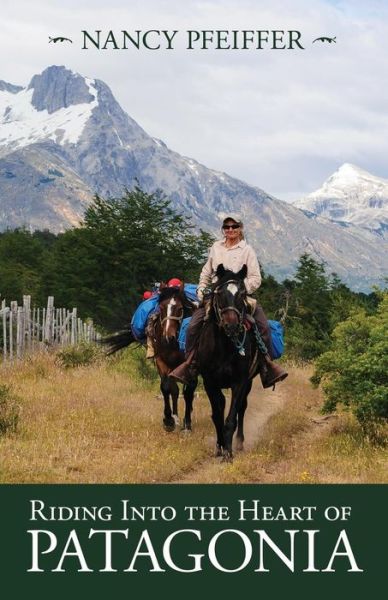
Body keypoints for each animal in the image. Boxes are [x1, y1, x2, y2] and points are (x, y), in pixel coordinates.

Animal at [102, 284, 196, 432]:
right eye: (161, 308)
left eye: (180, 309)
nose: (168, 337)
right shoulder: (161, 361)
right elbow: (166, 388)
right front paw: (168, 420)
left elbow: (188, 391)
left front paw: (186, 424)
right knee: (175, 390)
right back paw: (175, 417)